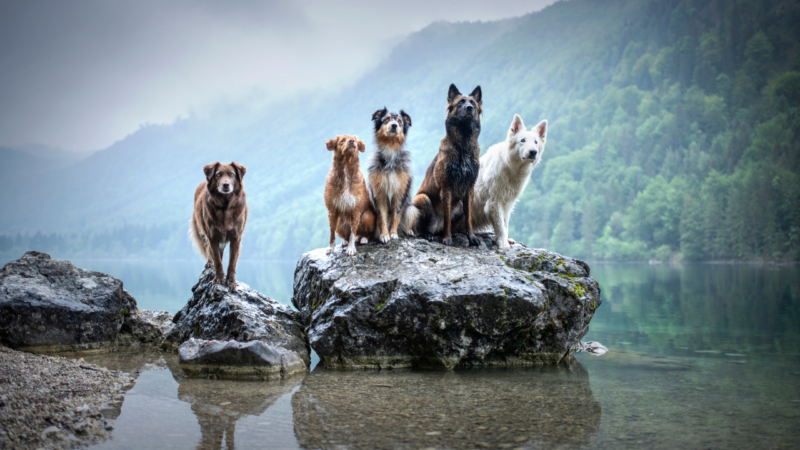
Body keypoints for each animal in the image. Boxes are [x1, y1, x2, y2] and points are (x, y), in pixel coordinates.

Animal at [190, 162, 247, 292]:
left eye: (232, 174)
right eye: (218, 174)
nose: (226, 185)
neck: (225, 206)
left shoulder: (236, 238)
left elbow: (232, 262)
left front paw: (230, 281)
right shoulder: (212, 237)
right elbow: (217, 260)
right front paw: (219, 278)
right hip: (202, 232)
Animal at [368, 107, 418, 243]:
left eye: (400, 121)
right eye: (387, 119)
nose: (394, 125)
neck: (390, 150)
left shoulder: (400, 191)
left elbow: (396, 214)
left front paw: (393, 233)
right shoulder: (379, 192)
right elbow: (382, 216)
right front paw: (385, 235)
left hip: (411, 209)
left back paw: (409, 231)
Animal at [412, 84, 482, 246]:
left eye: (473, 103)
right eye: (461, 102)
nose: (470, 108)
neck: (463, 145)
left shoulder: (470, 189)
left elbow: (468, 219)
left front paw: (472, 237)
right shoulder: (446, 188)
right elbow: (447, 219)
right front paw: (447, 238)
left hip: (462, 204)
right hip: (422, 198)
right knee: (425, 228)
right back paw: (430, 234)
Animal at [472, 114, 548, 250]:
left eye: (536, 142)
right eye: (522, 140)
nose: (533, 152)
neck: (512, 168)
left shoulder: (507, 202)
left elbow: (505, 224)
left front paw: (505, 239)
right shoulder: (494, 202)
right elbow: (500, 226)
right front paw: (503, 244)